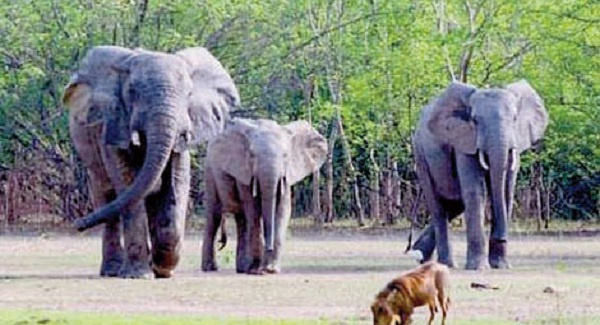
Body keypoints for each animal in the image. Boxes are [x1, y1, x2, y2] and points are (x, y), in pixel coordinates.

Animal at [62, 46, 238, 278]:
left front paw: (163, 270)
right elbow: (128, 183)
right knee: (106, 197)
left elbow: (176, 183)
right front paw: (138, 274)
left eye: (188, 94)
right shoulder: (113, 125)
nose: (78, 224)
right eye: (132, 92)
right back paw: (113, 270)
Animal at [202, 117, 326, 272]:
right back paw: (211, 268)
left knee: (241, 219)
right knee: (214, 216)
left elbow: (283, 211)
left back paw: (243, 268)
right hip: (209, 172)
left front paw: (270, 269)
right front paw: (257, 270)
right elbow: (253, 209)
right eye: (252, 155)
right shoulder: (245, 170)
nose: (269, 248)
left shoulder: (286, 176)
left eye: (286, 156)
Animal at [408, 79, 548, 270]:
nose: (501, 238)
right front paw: (478, 268)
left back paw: (420, 256)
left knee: (454, 205)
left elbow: (506, 191)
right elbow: (477, 192)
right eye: (475, 120)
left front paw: (501, 266)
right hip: (421, 155)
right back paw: (445, 264)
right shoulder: (463, 140)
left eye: (514, 119)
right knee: (439, 208)